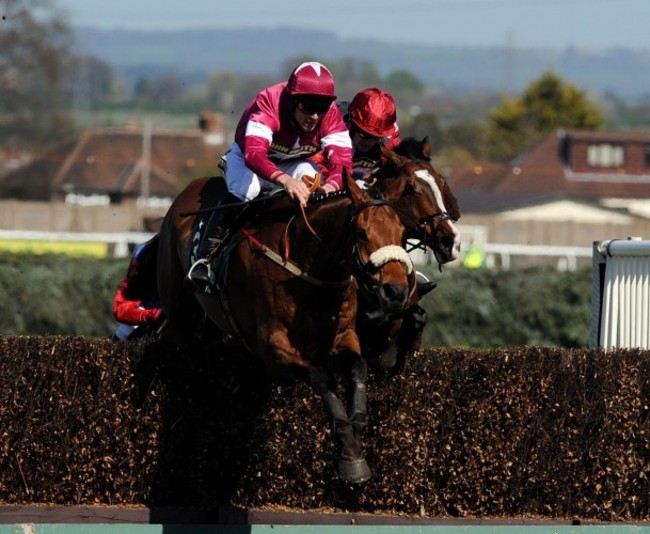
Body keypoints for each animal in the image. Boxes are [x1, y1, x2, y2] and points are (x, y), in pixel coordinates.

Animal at [156, 170, 413, 483]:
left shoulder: (343, 337)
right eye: (362, 232)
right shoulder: (274, 349)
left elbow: (358, 368)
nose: (396, 292)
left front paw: (355, 443)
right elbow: (322, 377)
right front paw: (350, 456)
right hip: (178, 307)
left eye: (402, 233)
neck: (308, 265)